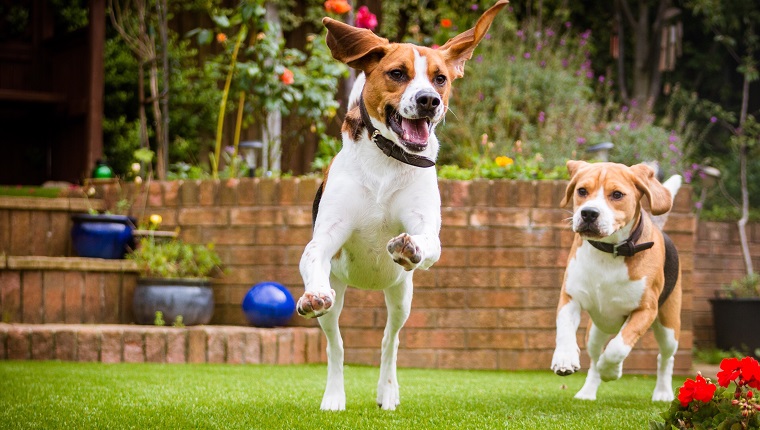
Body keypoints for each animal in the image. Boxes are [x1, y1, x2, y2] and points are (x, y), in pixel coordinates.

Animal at [300, 0, 508, 410]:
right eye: (397, 73)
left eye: (440, 78)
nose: (429, 100)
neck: (388, 160)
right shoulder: (326, 239)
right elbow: (314, 254)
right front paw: (312, 292)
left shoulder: (427, 230)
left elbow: (426, 241)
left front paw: (409, 246)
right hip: (338, 294)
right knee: (337, 344)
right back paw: (334, 395)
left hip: (401, 295)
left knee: (389, 341)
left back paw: (388, 391)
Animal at [552, 160, 684, 402]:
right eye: (582, 191)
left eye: (617, 194)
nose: (588, 213)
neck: (610, 251)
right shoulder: (570, 297)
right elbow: (564, 329)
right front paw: (564, 358)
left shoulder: (645, 310)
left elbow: (618, 347)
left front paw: (612, 370)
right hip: (595, 331)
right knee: (595, 359)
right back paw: (588, 391)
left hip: (669, 327)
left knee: (665, 358)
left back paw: (662, 392)